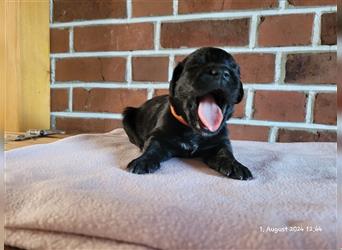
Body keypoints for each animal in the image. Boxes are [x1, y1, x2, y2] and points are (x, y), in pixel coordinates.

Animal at [123, 47, 254, 180]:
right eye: (196, 65)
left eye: (235, 69)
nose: (222, 72)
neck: (193, 131)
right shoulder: (158, 136)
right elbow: (152, 147)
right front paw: (142, 161)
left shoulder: (221, 141)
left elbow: (225, 152)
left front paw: (236, 165)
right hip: (127, 115)